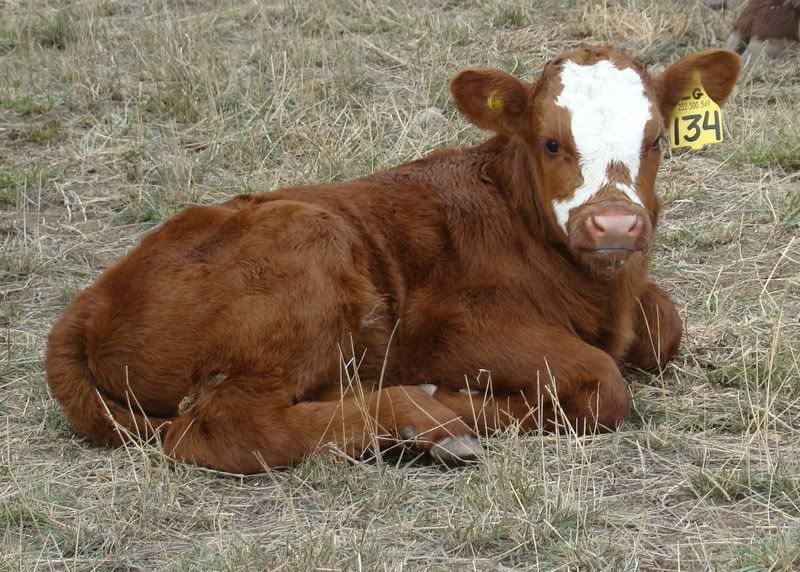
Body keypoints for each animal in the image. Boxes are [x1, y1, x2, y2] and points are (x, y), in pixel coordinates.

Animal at [45, 46, 742, 474]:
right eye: (550, 143)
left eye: (655, 141)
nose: (616, 224)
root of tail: (88, 302)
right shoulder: (450, 326)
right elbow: (601, 381)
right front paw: (474, 403)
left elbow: (665, 328)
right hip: (309, 249)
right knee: (225, 427)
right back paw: (426, 417)